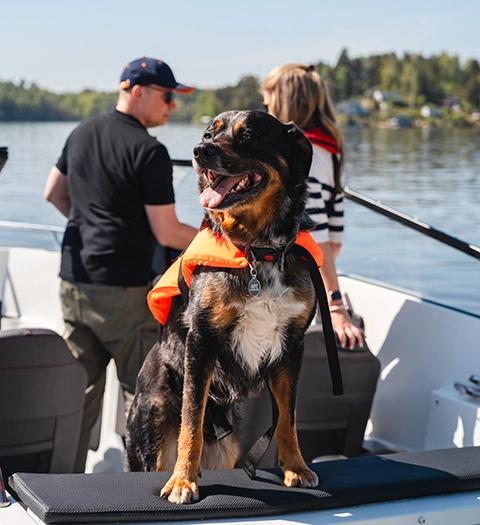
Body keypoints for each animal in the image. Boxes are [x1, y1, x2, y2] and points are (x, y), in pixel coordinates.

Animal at [126, 109, 322, 504]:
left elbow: (288, 417)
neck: (258, 249)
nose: (200, 151)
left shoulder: (292, 346)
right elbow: (191, 420)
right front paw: (182, 481)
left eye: (247, 136)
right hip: (150, 436)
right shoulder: (202, 340)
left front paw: (295, 468)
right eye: (208, 134)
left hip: (227, 446)